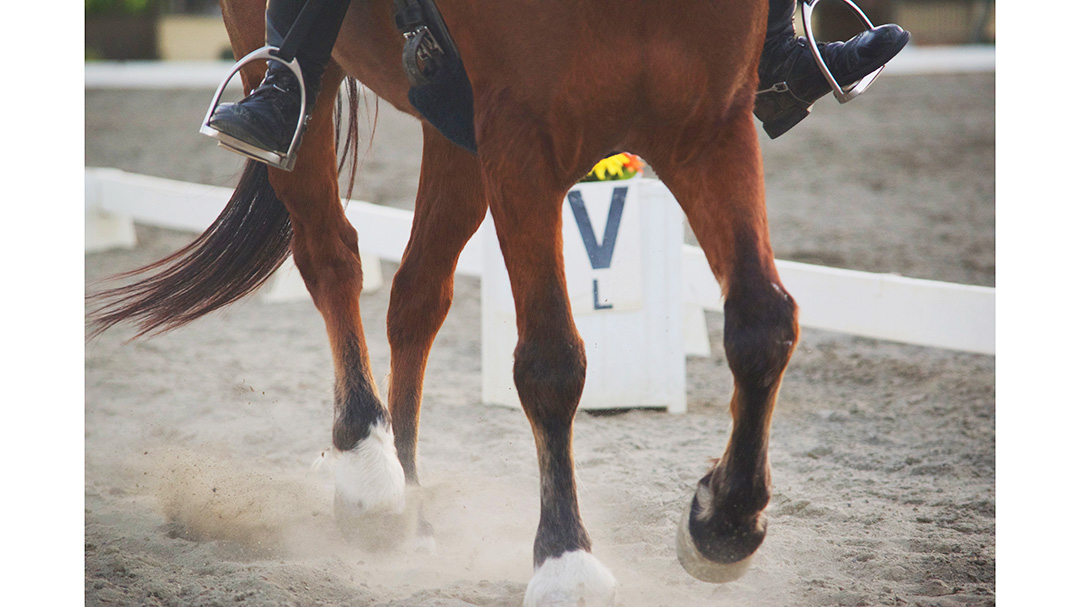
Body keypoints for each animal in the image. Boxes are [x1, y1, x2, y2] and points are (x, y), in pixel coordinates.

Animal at [87, 0, 800, 604]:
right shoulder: (520, 136)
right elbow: (550, 361)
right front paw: (565, 563)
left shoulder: (710, 126)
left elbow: (763, 323)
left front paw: (725, 524)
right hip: (291, 74)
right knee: (331, 255)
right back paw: (369, 474)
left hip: (454, 134)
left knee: (416, 297)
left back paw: (413, 513)